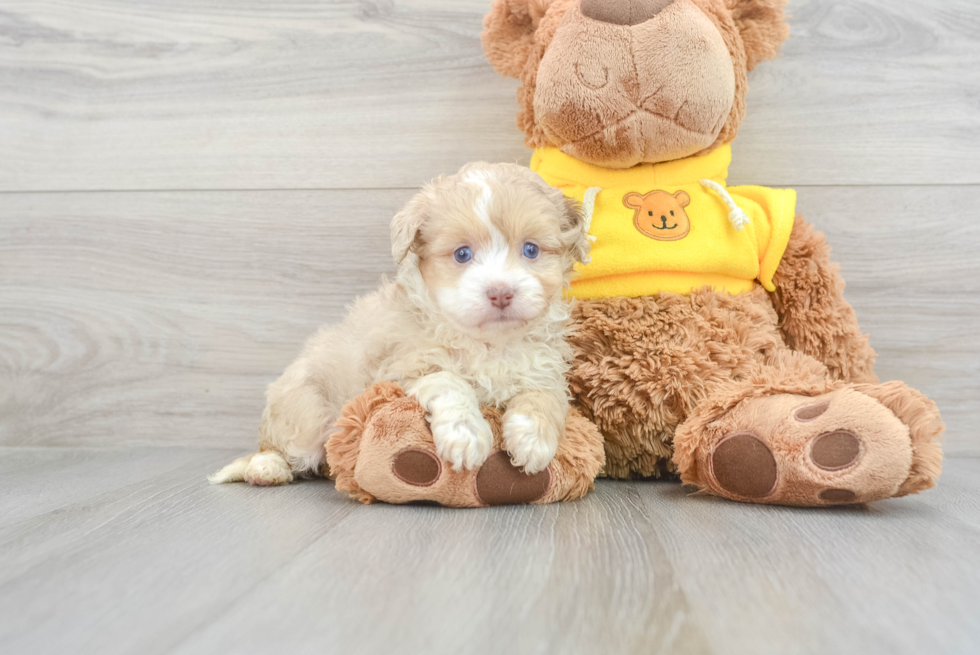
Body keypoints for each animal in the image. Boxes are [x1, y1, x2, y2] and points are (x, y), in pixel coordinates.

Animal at [209, 161, 588, 484]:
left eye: (531, 250)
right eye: (462, 254)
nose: (500, 293)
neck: (489, 344)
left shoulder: (542, 366)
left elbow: (546, 395)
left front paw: (533, 438)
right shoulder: (399, 369)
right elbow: (449, 380)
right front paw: (466, 434)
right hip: (306, 410)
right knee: (278, 445)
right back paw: (266, 467)